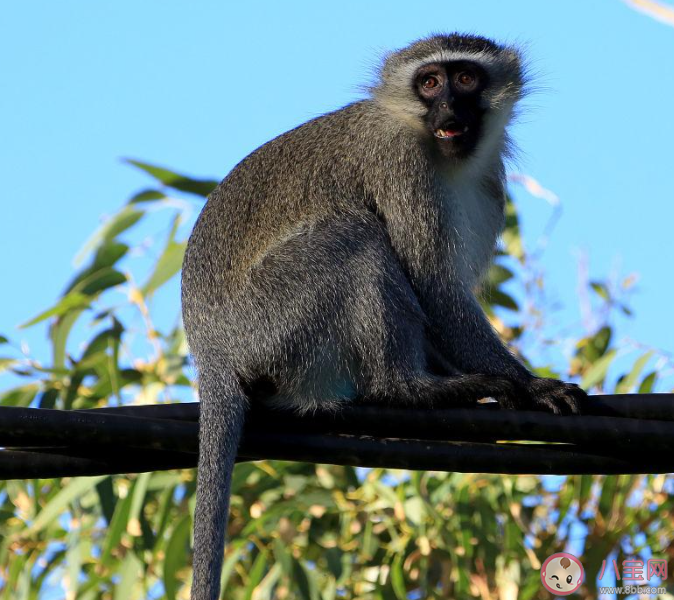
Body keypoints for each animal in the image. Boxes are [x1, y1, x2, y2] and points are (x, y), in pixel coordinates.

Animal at [181, 32, 584, 600]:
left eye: (466, 79)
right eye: (430, 82)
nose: (448, 107)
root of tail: (209, 352)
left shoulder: (489, 180)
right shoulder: (400, 165)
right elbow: (435, 291)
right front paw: (530, 385)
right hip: (267, 321)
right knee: (353, 233)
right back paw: (405, 388)